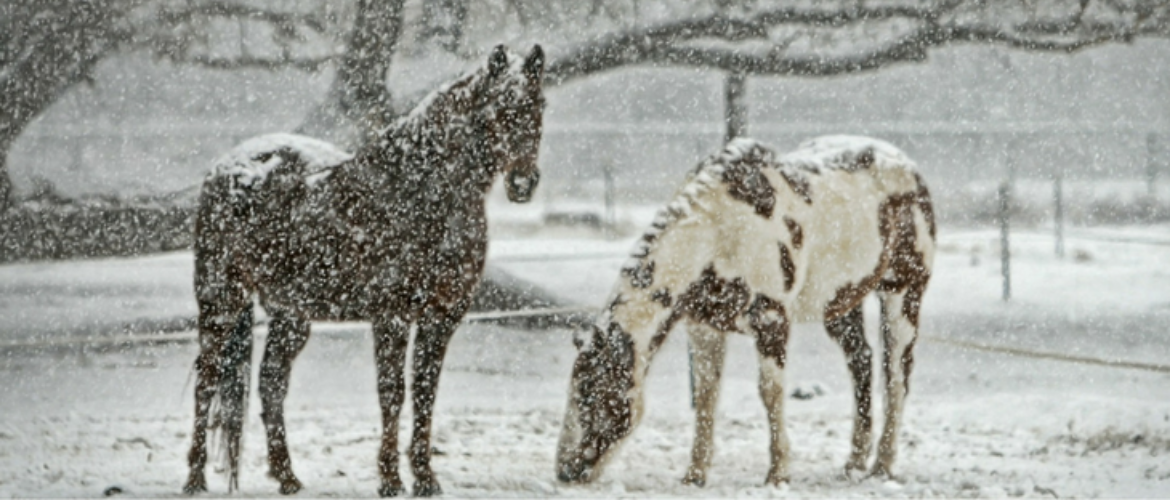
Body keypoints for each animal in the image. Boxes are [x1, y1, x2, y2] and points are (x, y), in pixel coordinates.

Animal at [183, 45, 547, 498]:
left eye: (539, 104)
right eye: (498, 108)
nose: (523, 183)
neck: (422, 190)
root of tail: (227, 167)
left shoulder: (442, 317)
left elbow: (425, 392)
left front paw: (425, 477)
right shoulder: (392, 316)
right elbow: (392, 393)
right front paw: (390, 478)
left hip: (291, 315)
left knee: (271, 383)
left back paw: (287, 475)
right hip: (221, 300)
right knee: (207, 378)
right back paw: (195, 478)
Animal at [554, 137, 931, 489]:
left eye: (591, 393)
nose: (565, 471)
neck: (719, 233)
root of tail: (909, 167)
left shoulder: (771, 322)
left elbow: (770, 393)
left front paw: (778, 475)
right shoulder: (704, 327)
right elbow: (706, 396)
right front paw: (695, 475)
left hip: (902, 293)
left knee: (897, 375)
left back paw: (883, 466)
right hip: (841, 305)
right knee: (862, 363)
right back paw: (853, 464)